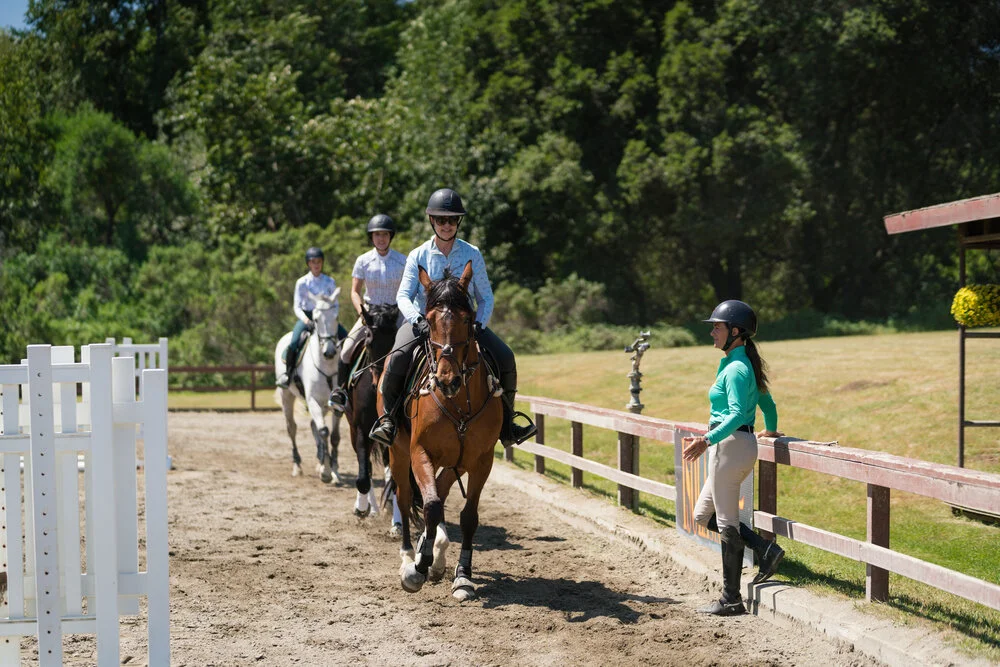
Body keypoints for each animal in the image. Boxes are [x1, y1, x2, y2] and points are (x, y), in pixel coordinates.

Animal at [274, 289, 344, 483]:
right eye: (317, 319)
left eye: (336, 317)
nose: (329, 352)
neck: (327, 367)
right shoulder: (313, 400)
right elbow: (324, 432)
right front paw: (326, 472)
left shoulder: (337, 404)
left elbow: (334, 436)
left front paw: (334, 471)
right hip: (287, 397)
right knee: (292, 428)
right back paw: (297, 466)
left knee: (314, 425)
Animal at [343, 302, 403, 526]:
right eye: (368, 338)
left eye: (394, 338)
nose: (380, 382)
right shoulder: (361, 428)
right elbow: (363, 478)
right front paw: (362, 509)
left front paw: (396, 523)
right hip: (353, 429)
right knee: (367, 467)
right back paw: (371, 509)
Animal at [381, 261, 503, 600]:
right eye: (431, 319)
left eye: (467, 318)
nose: (448, 380)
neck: (458, 402)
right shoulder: (419, 452)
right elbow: (432, 506)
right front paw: (417, 569)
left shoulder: (482, 460)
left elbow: (468, 516)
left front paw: (463, 576)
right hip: (398, 453)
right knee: (406, 498)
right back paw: (409, 556)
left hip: (456, 461)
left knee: (441, 488)